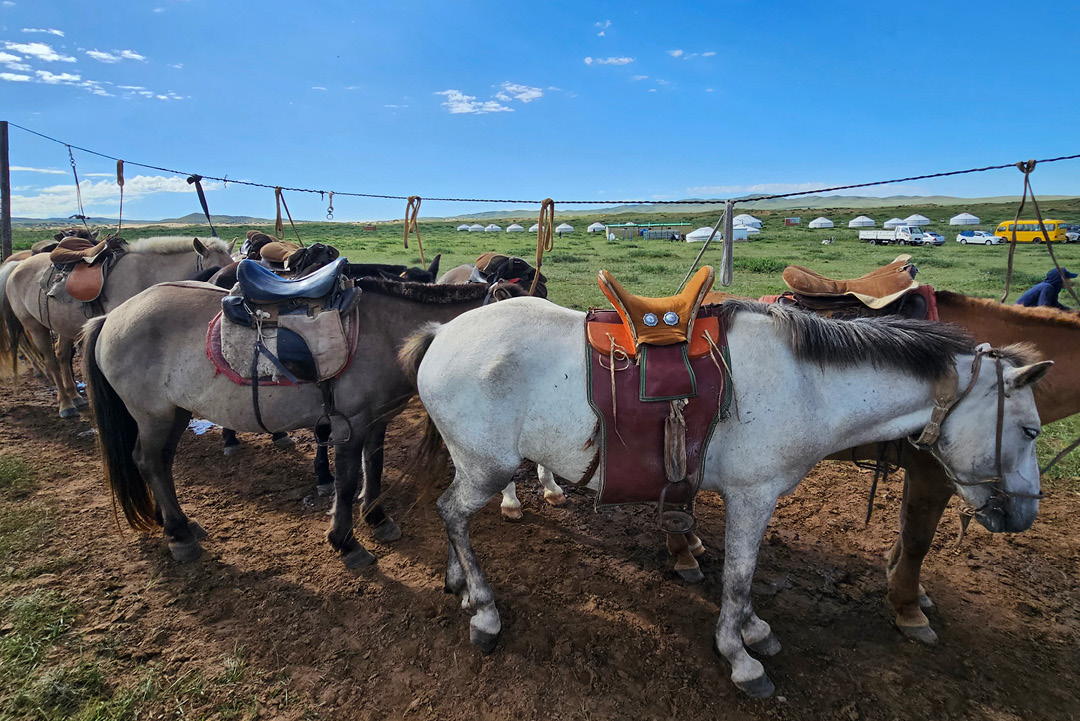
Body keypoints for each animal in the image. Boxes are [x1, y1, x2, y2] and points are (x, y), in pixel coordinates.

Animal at [0, 235, 234, 418]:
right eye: (216, 270)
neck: (146, 274)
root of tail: (14, 267)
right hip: (33, 326)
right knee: (50, 360)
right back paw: (65, 404)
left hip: (62, 325)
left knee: (62, 355)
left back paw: (75, 396)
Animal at [81, 275, 521, 567]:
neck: (384, 330)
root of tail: (112, 316)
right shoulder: (349, 424)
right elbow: (346, 482)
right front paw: (345, 541)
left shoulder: (377, 422)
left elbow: (375, 469)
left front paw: (376, 518)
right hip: (152, 414)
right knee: (149, 460)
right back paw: (178, 534)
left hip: (175, 412)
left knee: (160, 462)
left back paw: (175, 522)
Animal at [400, 296, 1050, 698]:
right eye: (1029, 431)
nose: (1023, 514)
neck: (807, 383)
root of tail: (444, 333)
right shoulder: (752, 496)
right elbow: (739, 574)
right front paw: (740, 655)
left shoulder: (751, 501)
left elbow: (744, 577)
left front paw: (754, 629)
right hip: (487, 467)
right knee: (451, 513)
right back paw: (484, 610)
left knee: (453, 517)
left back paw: (461, 585)